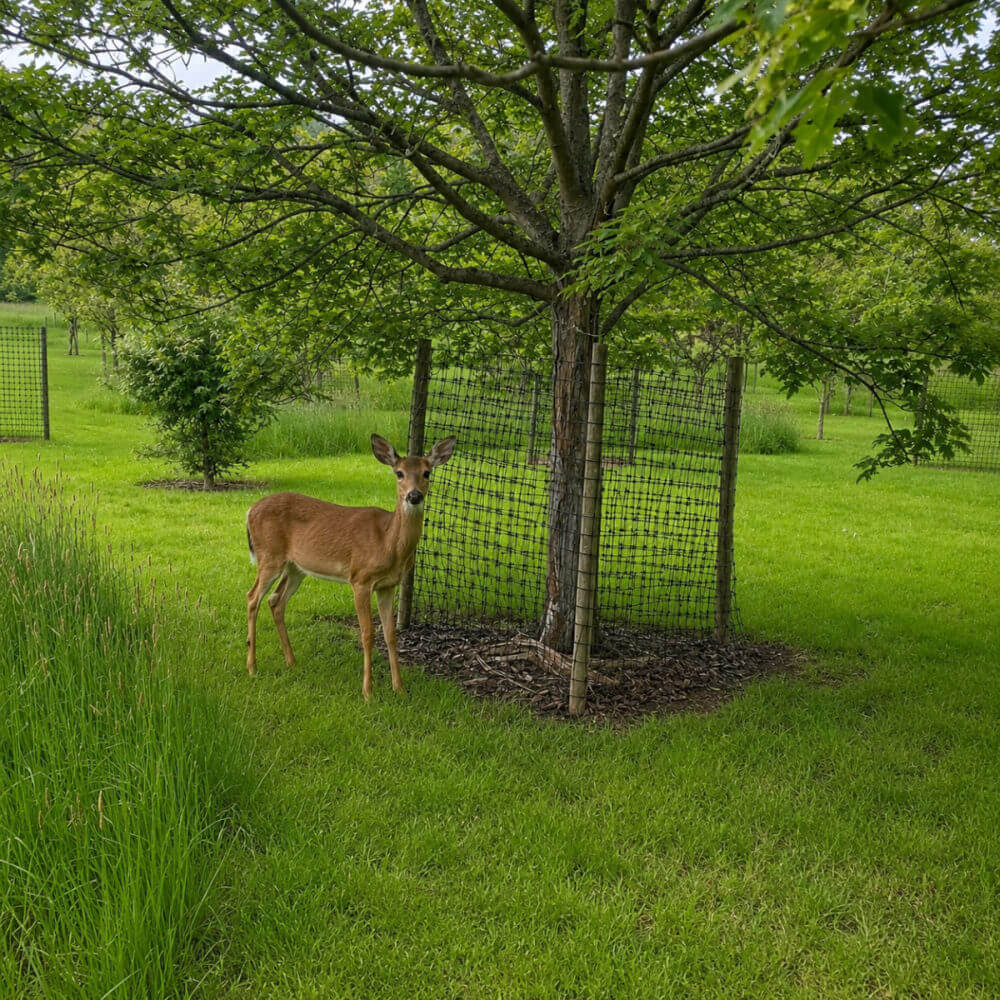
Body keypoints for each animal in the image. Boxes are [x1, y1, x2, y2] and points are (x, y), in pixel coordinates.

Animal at [245, 433, 456, 699]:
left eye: (427, 472)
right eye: (399, 473)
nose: (414, 496)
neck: (388, 542)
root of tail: (249, 510)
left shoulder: (387, 585)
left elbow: (391, 635)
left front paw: (399, 688)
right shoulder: (360, 578)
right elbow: (367, 634)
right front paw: (368, 691)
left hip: (296, 567)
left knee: (275, 600)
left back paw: (292, 662)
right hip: (269, 555)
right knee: (252, 597)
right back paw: (252, 667)